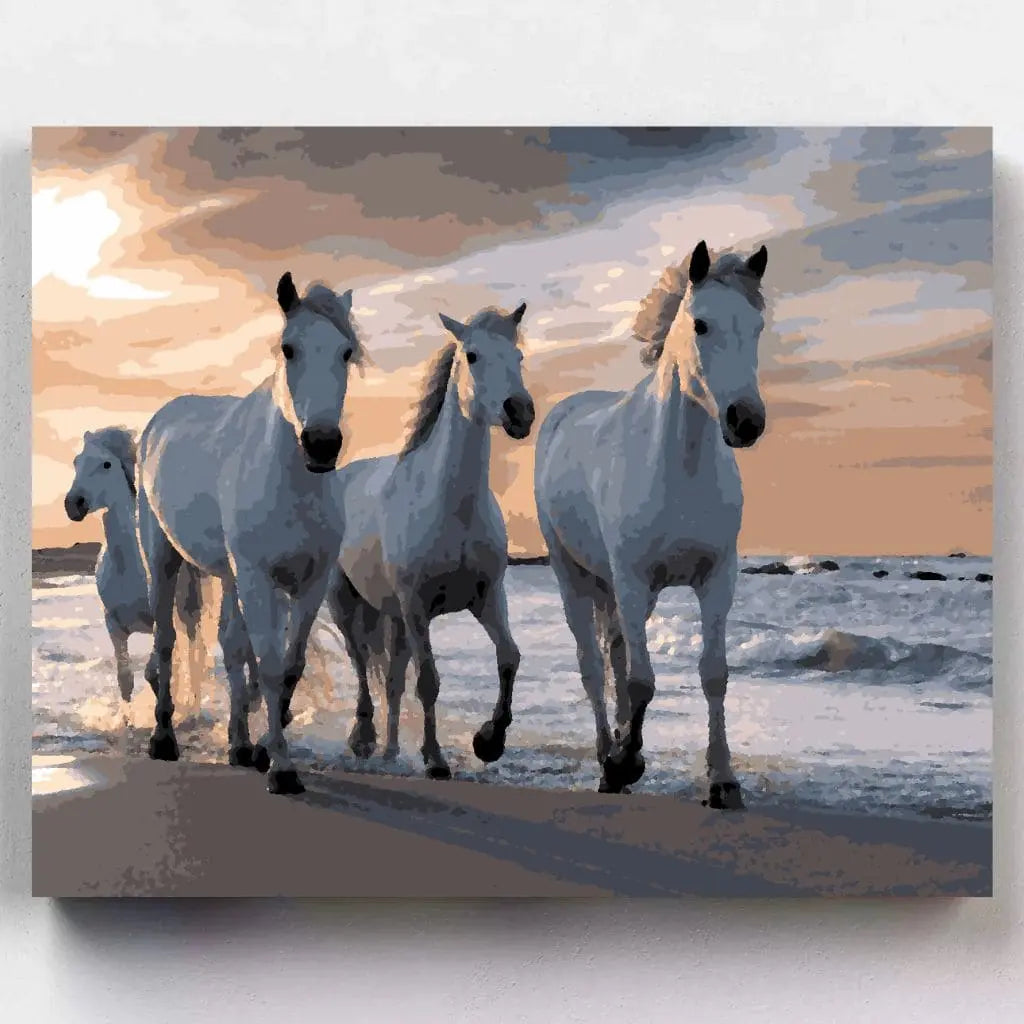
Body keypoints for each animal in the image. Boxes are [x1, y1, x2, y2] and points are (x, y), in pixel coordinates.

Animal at [63, 426, 209, 705]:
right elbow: (125, 680)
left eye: (106, 464)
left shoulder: (160, 621)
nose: (73, 504)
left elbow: (156, 671)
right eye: (76, 461)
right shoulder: (114, 626)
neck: (128, 569)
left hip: (188, 613)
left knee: (192, 657)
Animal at [137, 273, 363, 795]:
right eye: (289, 348)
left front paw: (262, 749)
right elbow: (271, 664)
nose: (322, 444)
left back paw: (239, 744)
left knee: (232, 648)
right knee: (166, 641)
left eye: (346, 352)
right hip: (162, 558)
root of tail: (160, 421)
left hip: (228, 576)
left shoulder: (309, 583)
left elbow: (286, 667)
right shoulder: (259, 579)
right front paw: (281, 768)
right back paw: (163, 737)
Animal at [326, 302, 534, 780]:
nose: (520, 412)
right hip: (346, 602)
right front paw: (436, 759)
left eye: (518, 357)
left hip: (394, 617)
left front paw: (489, 740)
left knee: (391, 678)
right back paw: (363, 739)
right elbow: (429, 681)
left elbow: (509, 657)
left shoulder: (488, 597)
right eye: (472, 355)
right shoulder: (417, 606)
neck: (450, 506)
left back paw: (389, 752)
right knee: (361, 661)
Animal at [534, 240, 769, 807]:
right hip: (574, 577)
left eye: (757, 327)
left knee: (615, 652)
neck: (679, 467)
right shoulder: (633, 580)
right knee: (593, 667)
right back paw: (608, 756)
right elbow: (642, 681)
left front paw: (723, 780)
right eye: (701, 324)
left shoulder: (716, 579)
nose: (746, 421)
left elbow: (713, 674)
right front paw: (622, 763)